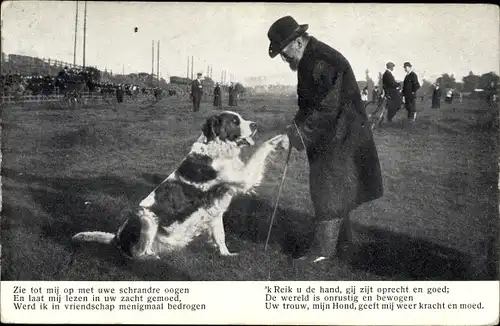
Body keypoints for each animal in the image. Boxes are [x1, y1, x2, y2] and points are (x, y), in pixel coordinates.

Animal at [71, 111, 290, 258]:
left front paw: (226, 254)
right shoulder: (244, 177)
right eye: (235, 121)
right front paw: (280, 139)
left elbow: (220, 235)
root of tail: (117, 237)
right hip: (146, 218)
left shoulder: (215, 210)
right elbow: (262, 148)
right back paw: (152, 258)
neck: (216, 146)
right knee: (139, 254)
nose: (255, 125)